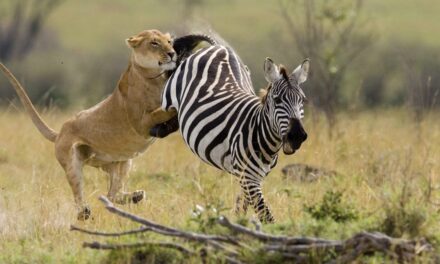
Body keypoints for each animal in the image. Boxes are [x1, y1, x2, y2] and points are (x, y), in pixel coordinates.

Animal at [156, 45, 308, 223]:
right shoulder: (248, 178)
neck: (260, 132)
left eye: (302, 100)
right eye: (277, 100)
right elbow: (266, 216)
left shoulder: (253, 176)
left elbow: (241, 206)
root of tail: (218, 47)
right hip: (167, 98)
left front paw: (236, 223)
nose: (297, 136)